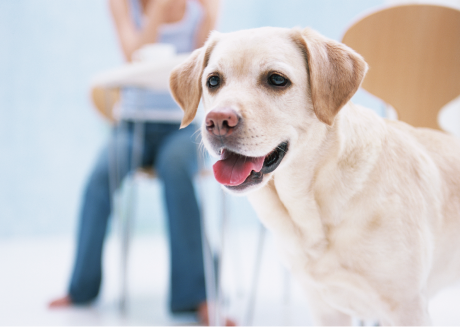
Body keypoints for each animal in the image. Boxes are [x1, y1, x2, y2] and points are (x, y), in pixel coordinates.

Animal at [169, 26, 460, 326]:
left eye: (276, 79)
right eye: (213, 81)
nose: (217, 121)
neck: (311, 205)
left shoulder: (408, 307)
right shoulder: (327, 309)